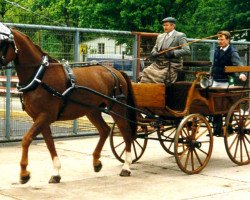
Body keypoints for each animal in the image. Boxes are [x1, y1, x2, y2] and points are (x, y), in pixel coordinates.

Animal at [0, 22, 137, 184]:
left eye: (2, 42)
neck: (40, 76)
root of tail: (116, 71)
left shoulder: (45, 116)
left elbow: (27, 139)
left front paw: (24, 173)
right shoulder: (39, 118)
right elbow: (49, 143)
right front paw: (56, 173)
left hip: (118, 108)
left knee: (126, 133)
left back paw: (126, 167)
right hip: (93, 111)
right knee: (104, 130)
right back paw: (96, 162)